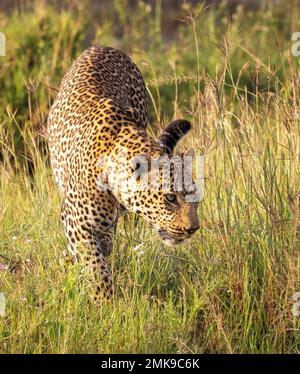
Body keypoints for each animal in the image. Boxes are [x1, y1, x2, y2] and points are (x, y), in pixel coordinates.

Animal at [47, 45, 199, 300]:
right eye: (170, 198)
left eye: (195, 200)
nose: (193, 229)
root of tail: (103, 46)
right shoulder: (77, 222)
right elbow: (95, 266)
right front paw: (105, 302)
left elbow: (101, 251)